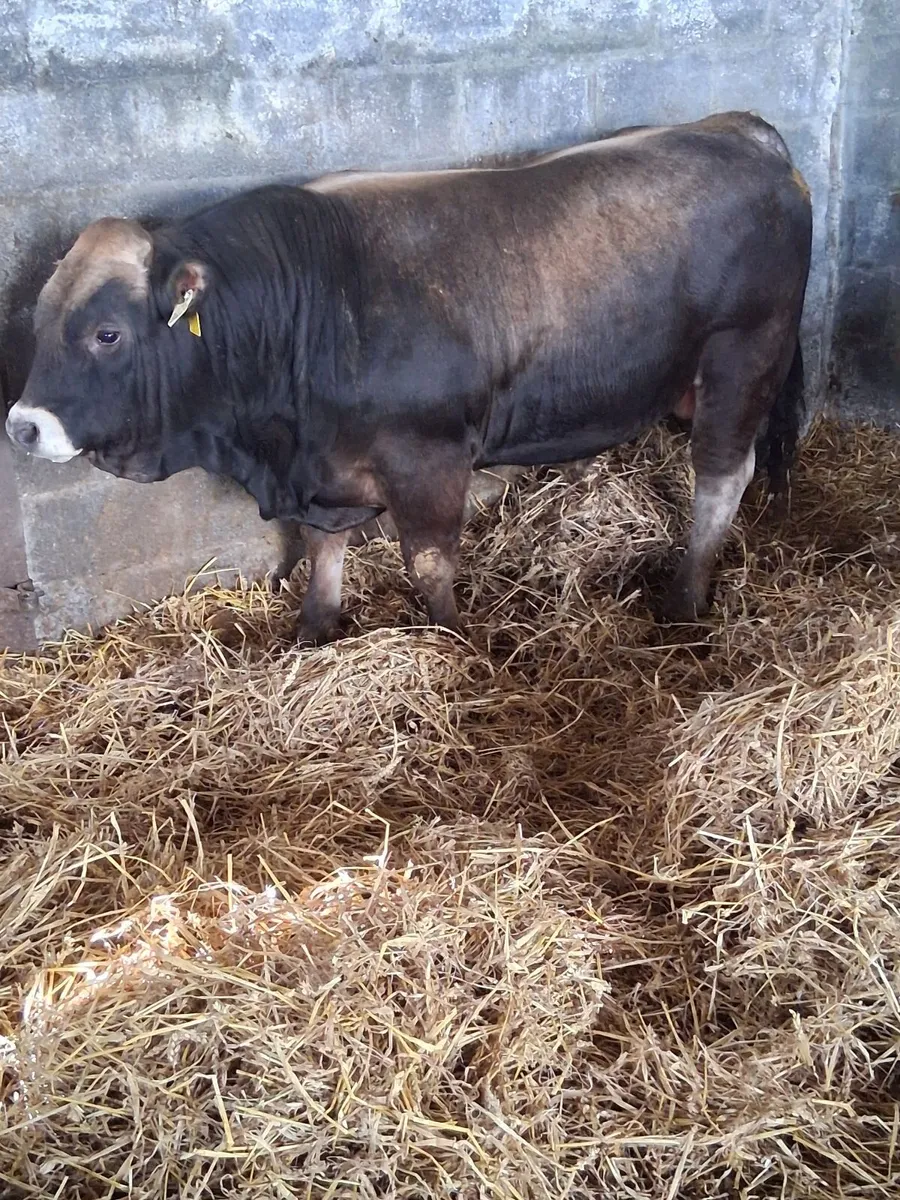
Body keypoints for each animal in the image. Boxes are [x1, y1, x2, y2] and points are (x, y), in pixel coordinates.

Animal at [5, 111, 811, 644]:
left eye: (107, 334)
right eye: (37, 321)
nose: (23, 425)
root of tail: (740, 130)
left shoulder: (429, 458)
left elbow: (427, 564)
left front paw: (455, 644)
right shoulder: (325, 469)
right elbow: (323, 545)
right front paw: (315, 628)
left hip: (745, 355)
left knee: (722, 475)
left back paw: (684, 598)